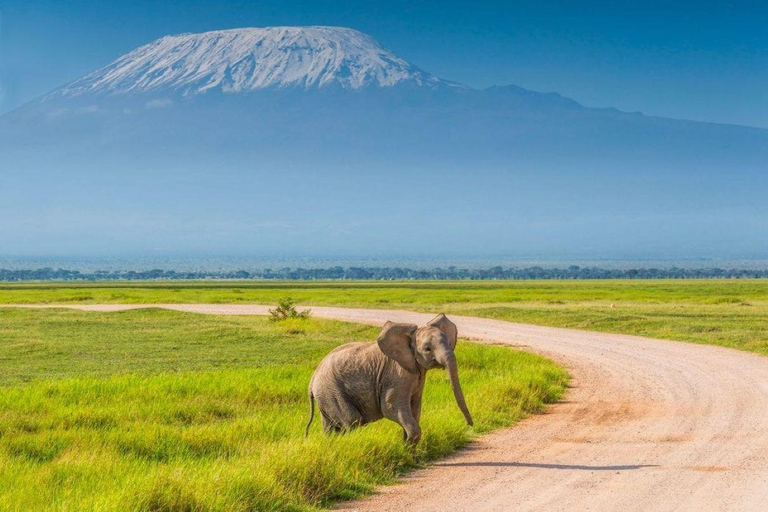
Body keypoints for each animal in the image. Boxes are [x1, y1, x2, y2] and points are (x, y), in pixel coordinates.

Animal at [304, 312, 472, 444]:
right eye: (427, 349)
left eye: (448, 342)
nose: (469, 426)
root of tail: (312, 380)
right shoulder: (395, 375)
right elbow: (391, 407)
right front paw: (408, 451)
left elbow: (415, 408)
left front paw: (408, 451)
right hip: (332, 392)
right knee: (352, 421)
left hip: (326, 395)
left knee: (330, 427)